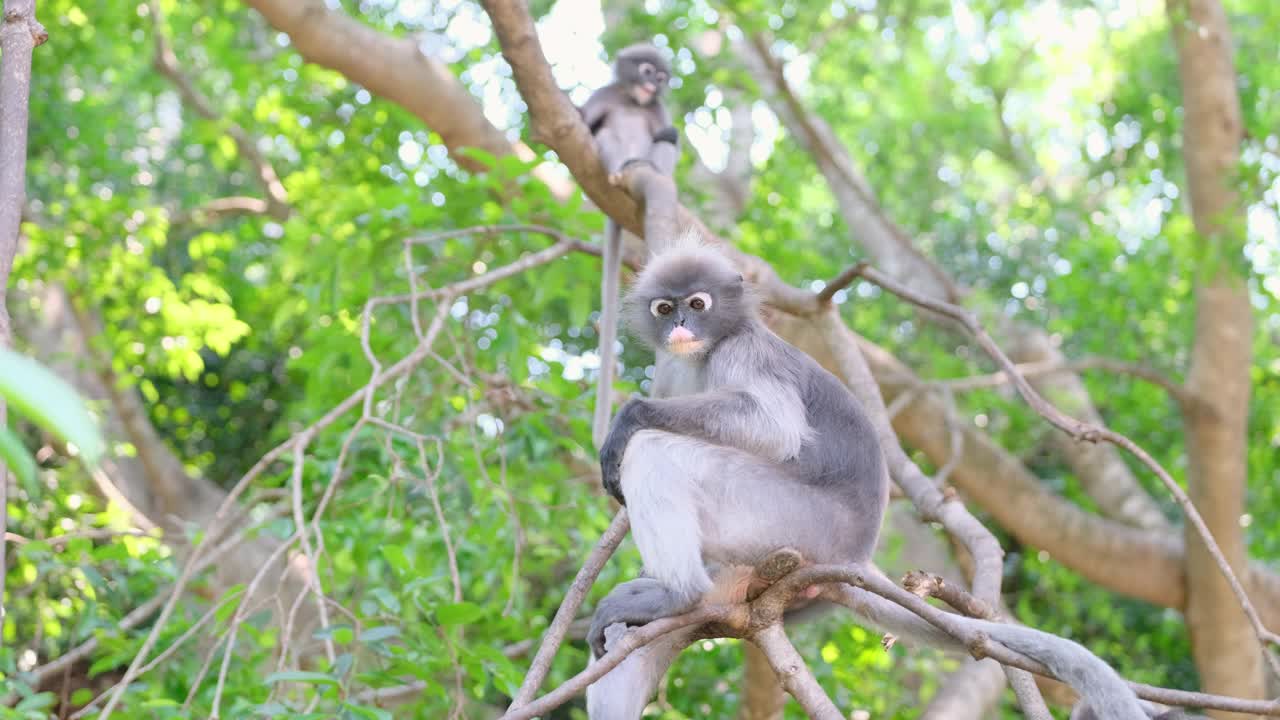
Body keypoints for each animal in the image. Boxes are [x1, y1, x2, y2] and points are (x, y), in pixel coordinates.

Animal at [578, 41, 680, 448]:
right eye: (648, 71)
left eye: (662, 77)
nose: (654, 85)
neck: (634, 101)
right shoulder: (606, 95)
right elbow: (587, 122)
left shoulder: (657, 110)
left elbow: (667, 133)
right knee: (606, 137)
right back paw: (620, 169)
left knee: (666, 140)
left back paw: (645, 166)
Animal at [586, 239, 1146, 717]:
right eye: (665, 308)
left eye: (698, 303)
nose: (681, 322)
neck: (704, 353)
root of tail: (853, 557)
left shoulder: (743, 351)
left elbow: (772, 428)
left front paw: (629, 417)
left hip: (788, 521)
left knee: (658, 452)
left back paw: (679, 594)